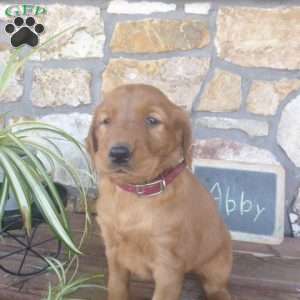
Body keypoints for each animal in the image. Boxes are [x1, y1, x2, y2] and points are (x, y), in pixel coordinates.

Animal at [86, 84, 232, 300]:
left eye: (152, 120)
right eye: (106, 121)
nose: (119, 153)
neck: (136, 192)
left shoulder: (168, 265)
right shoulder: (112, 251)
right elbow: (116, 287)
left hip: (218, 261)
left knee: (216, 286)